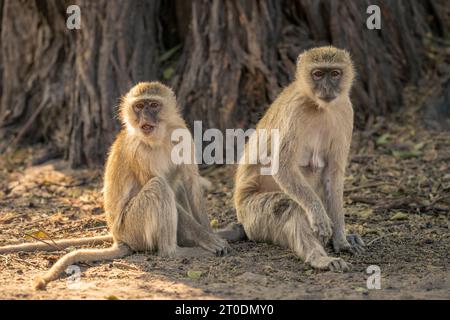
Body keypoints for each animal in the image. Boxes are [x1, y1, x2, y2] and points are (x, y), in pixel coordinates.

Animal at [0, 81, 243, 288]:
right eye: (139, 106)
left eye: (153, 105)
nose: (145, 117)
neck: (160, 137)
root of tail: (119, 237)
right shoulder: (139, 152)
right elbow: (165, 186)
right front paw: (208, 240)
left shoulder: (182, 133)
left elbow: (191, 183)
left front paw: (212, 234)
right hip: (133, 228)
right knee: (159, 187)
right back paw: (174, 252)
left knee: (176, 185)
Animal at [236, 46, 366, 272]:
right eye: (318, 74)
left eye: (335, 73)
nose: (327, 88)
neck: (319, 107)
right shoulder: (294, 112)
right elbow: (283, 168)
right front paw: (320, 219)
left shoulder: (345, 110)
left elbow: (333, 174)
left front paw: (341, 240)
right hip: (252, 216)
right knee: (289, 206)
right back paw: (320, 258)